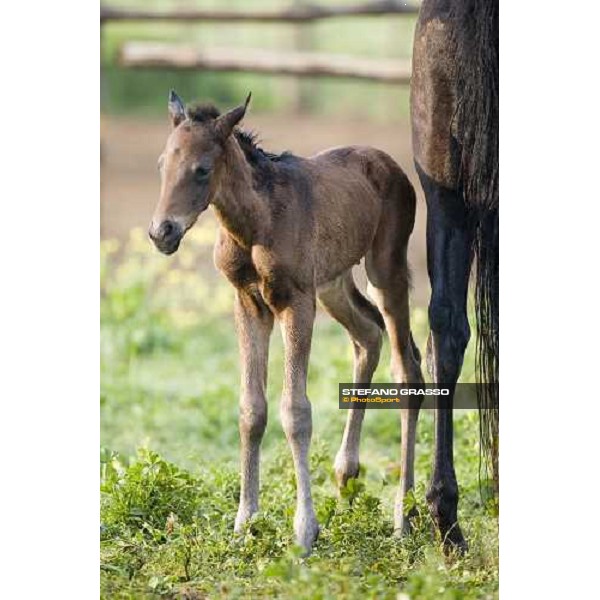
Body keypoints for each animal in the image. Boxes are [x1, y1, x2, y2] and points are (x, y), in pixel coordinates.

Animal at [149, 90, 422, 552]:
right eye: (161, 164)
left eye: (202, 169)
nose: (161, 232)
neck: (253, 224)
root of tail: (389, 163)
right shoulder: (248, 302)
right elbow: (251, 409)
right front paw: (244, 522)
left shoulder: (295, 301)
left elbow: (295, 411)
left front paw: (304, 530)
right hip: (333, 283)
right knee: (368, 335)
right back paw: (346, 478)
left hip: (385, 270)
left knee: (407, 369)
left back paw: (404, 516)